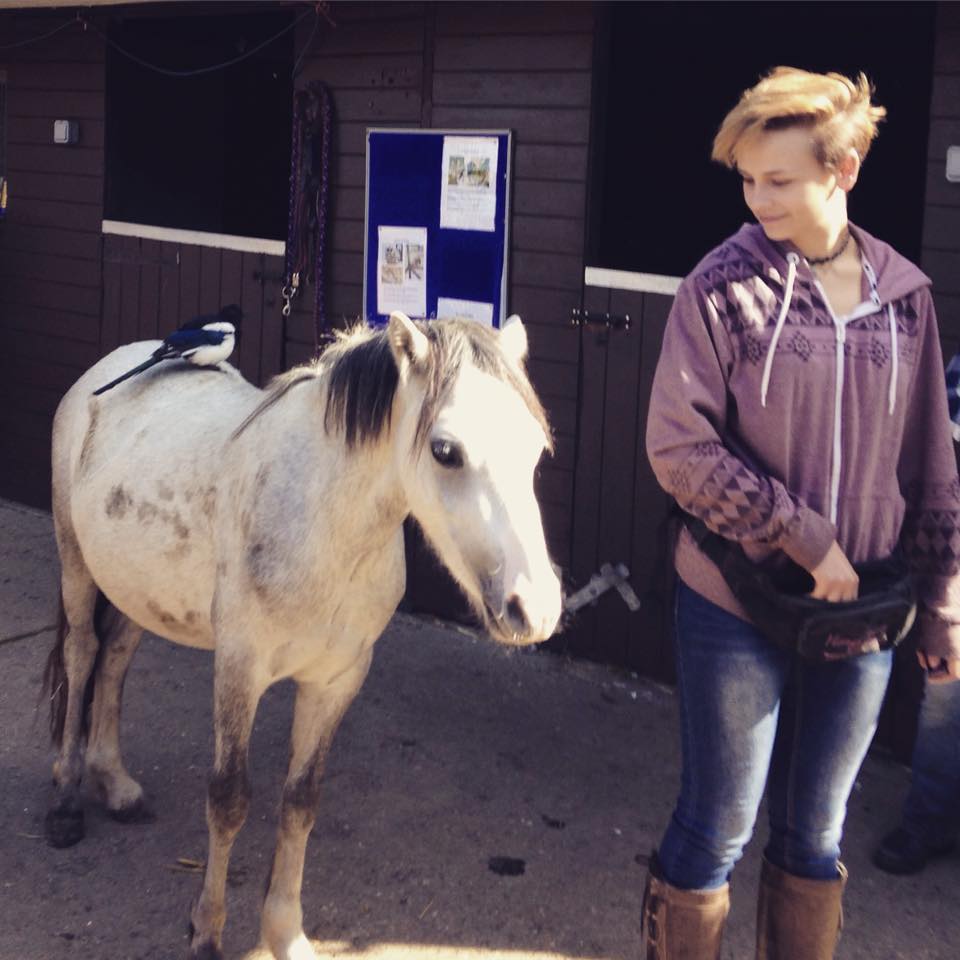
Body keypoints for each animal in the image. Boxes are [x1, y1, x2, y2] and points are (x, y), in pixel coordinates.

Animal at [42, 311, 562, 960]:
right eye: (445, 451)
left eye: (536, 451)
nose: (534, 609)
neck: (320, 522)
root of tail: (107, 371)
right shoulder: (239, 670)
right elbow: (229, 799)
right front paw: (207, 931)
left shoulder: (335, 681)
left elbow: (300, 803)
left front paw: (285, 934)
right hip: (76, 564)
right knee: (82, 655)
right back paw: (66, 800)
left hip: (135, 587)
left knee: (112, 662)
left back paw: (115, 784)